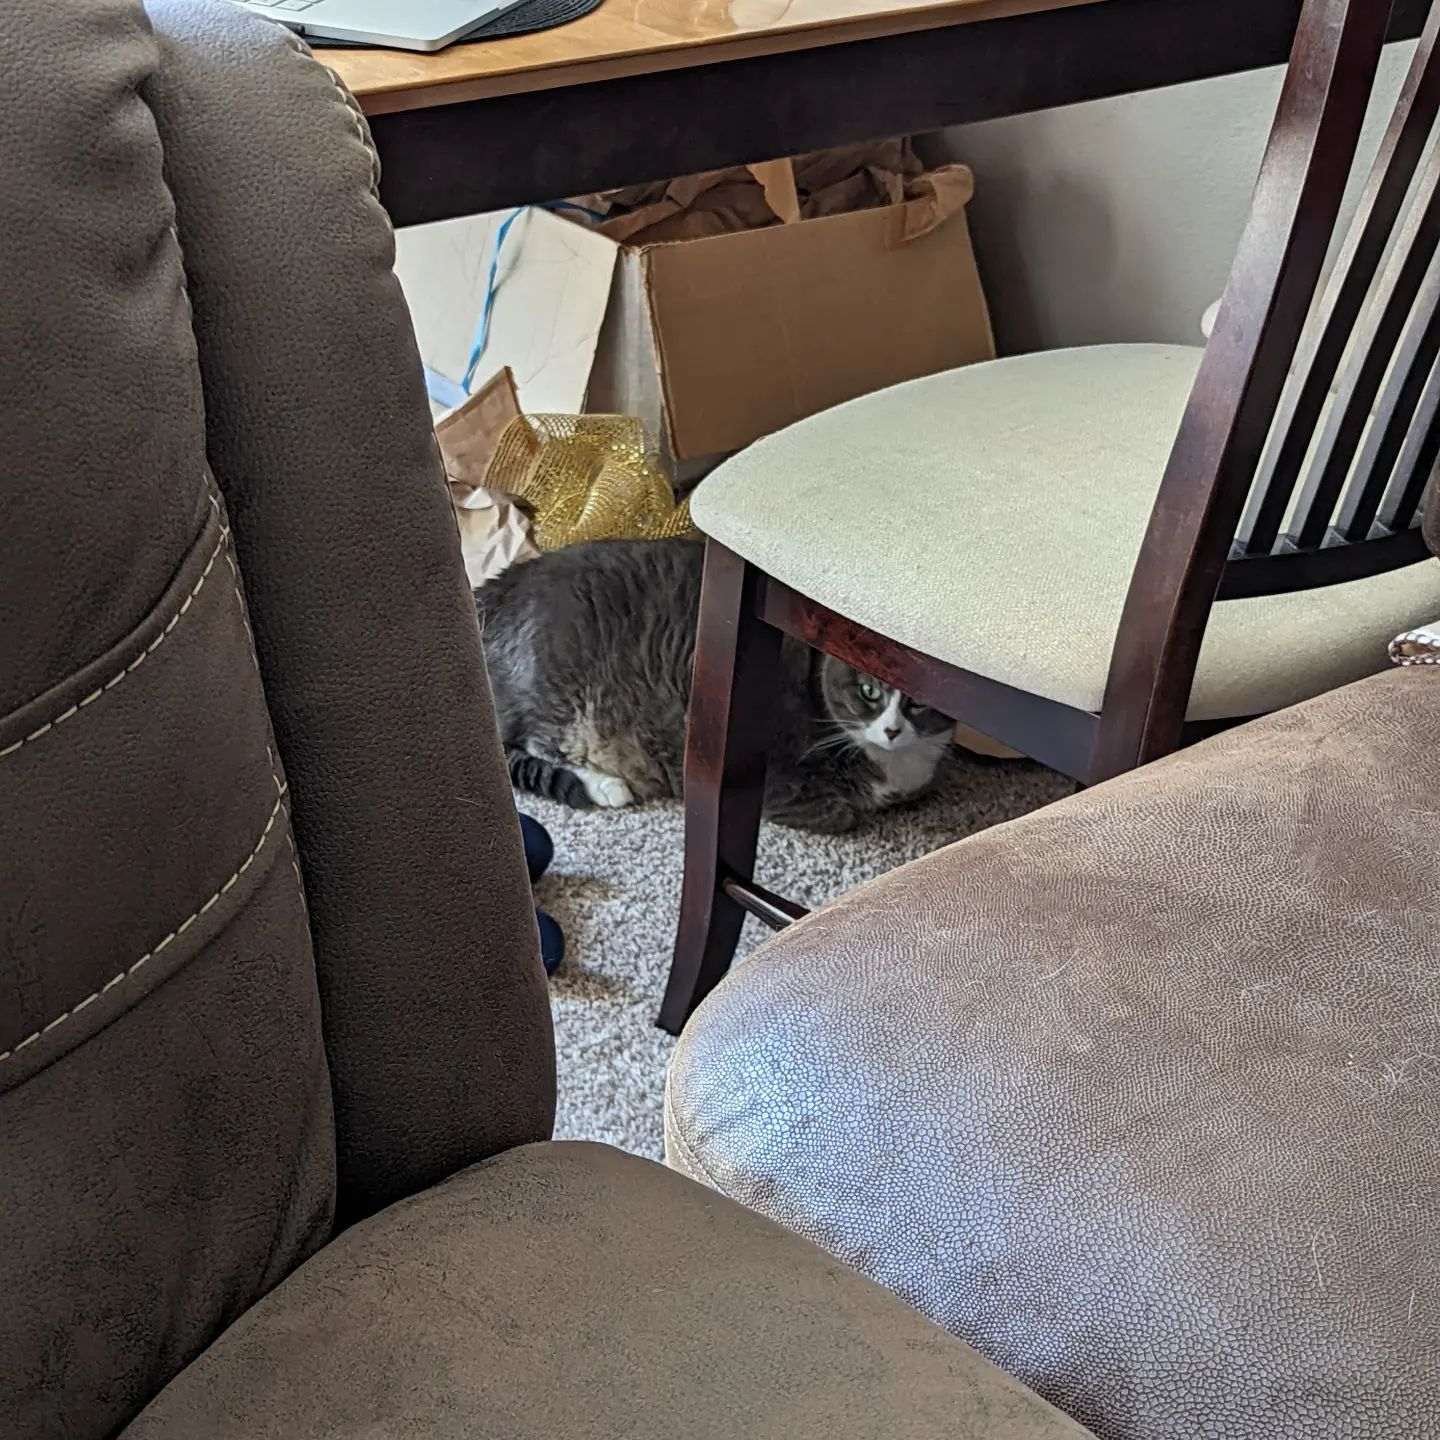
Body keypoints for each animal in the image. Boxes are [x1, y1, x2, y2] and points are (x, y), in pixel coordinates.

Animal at [475, 538, 954, 833]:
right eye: (869, 691)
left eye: (920, 704)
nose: (892, 729)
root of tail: (491, 591)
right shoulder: (774, 781)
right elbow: (842, 812)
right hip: (558, 693)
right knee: (530, 745)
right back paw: (608, 787)